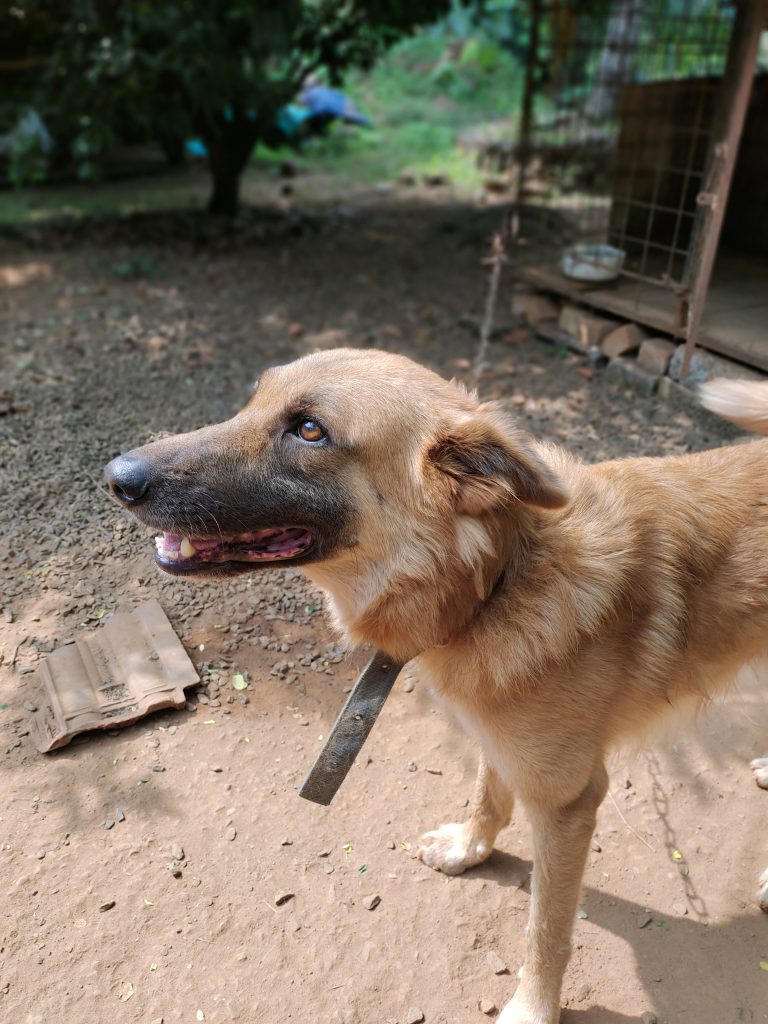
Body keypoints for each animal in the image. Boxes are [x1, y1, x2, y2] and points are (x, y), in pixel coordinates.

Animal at [103, 348, 768, 1019]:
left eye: (310, 430)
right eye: (252, 400)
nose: (117, 476)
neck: (498, 580)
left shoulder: (568, 803)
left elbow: (546, 929)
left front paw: (533, 1007)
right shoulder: (497, 738)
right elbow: (488, 794)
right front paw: (469, 849)